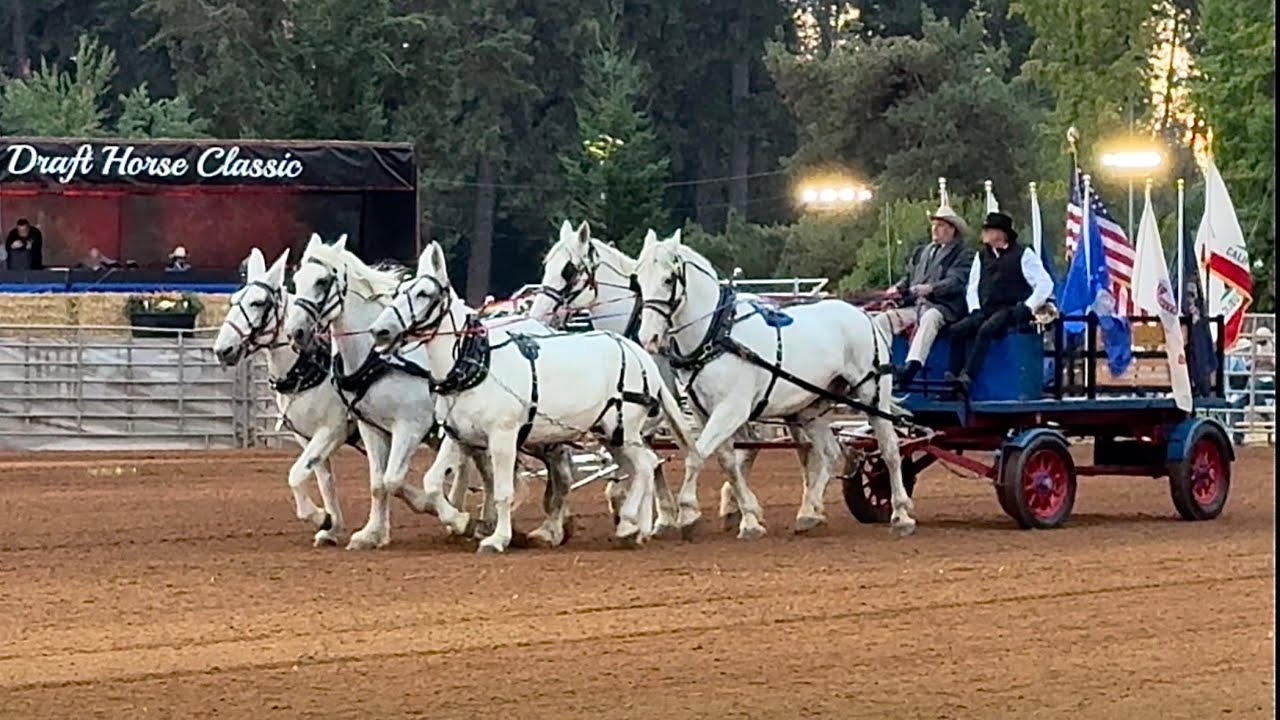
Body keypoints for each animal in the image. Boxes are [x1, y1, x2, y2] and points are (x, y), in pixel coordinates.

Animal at [368, 243, 698, 553]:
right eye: (398, 291)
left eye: (424, 293)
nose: (379, 330)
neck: (476, 362)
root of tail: (638, 352)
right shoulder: (458, 437)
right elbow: (433, 483)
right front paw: (462, 521)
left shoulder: (503, 437)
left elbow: (503, 492)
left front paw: (497, 538)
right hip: (610, 435)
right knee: (642, 467)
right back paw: (635, 528)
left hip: (624, 431)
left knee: (645, 465)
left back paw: (630, 524)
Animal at [526, 220, 769, 536]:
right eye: (546, 264)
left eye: (568, 270)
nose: (538, 314)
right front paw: (660, 515)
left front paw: (659, 512)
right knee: (747, 445)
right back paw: (734, 506)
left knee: (751, 444)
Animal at [631, 229, 917, 538]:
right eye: (638, 280)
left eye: (668, 279)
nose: (647, 338)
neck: (716, 333)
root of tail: (865, 316)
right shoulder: (702, 411)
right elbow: (727, 462)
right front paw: (748, 517)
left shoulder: (732, 410)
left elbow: (698, 456)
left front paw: (688, 512)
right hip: (810, 407)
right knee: (831, 452)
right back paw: (809, 512)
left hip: (872, 396)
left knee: (889, 450)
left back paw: (901, 514)